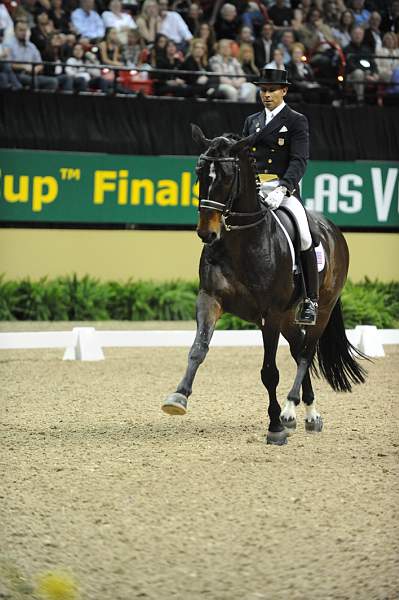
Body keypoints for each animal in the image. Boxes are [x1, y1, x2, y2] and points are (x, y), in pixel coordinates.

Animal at [161, 124, 368, 446]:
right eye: (199, 172)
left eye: (227, 177)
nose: (207, 233)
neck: (241, 241)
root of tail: (332, 229)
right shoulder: (210, 298)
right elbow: (198, 348)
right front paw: (177, 398)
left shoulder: (268, 314)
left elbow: (269, 371)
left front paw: (274, 428)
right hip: (288, 317)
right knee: (297, 349)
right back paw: (307, 414)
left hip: (320, 309)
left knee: (306, 352)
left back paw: (291, 411)